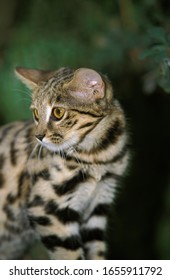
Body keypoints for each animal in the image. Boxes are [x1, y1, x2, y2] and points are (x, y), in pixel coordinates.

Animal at [0, 66, 129, 260]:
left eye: (58, 113)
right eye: (36, 113)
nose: (38, 136)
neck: (97, 157)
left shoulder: (98, 205)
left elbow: (96, 254)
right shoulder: (47, 209)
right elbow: (71, 257)